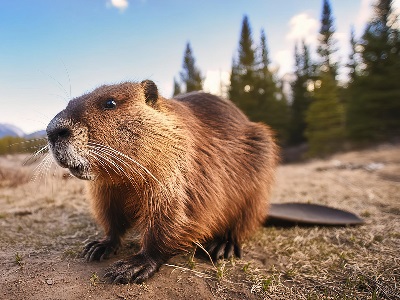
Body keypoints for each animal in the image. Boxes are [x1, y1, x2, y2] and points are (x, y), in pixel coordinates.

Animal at [46, 79, 278, 284]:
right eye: (69, 102)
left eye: (110, 103)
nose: (53, 130)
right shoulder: (106, 190)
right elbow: (111, 217)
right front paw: (97, 246)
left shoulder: (180, 172)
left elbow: (173, 217)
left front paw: (131, 267)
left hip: (257, 182)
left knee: (245, 219)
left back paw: (223, 245)